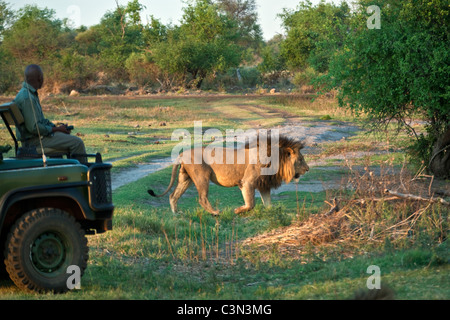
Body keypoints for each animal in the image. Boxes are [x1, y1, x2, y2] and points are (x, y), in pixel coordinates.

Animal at [148, 135, 310, 215]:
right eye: (301, 160)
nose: (308, 169)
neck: (276, 160)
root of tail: (182, 153)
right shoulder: (247, 182)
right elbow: (251, 204)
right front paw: (238, 210)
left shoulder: (264, 184)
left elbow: (268, 203)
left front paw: (274, 213)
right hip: (202, 176)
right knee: (202, 198)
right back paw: (215, 213)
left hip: (185, 178)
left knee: (173, 195)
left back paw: (176, 213)